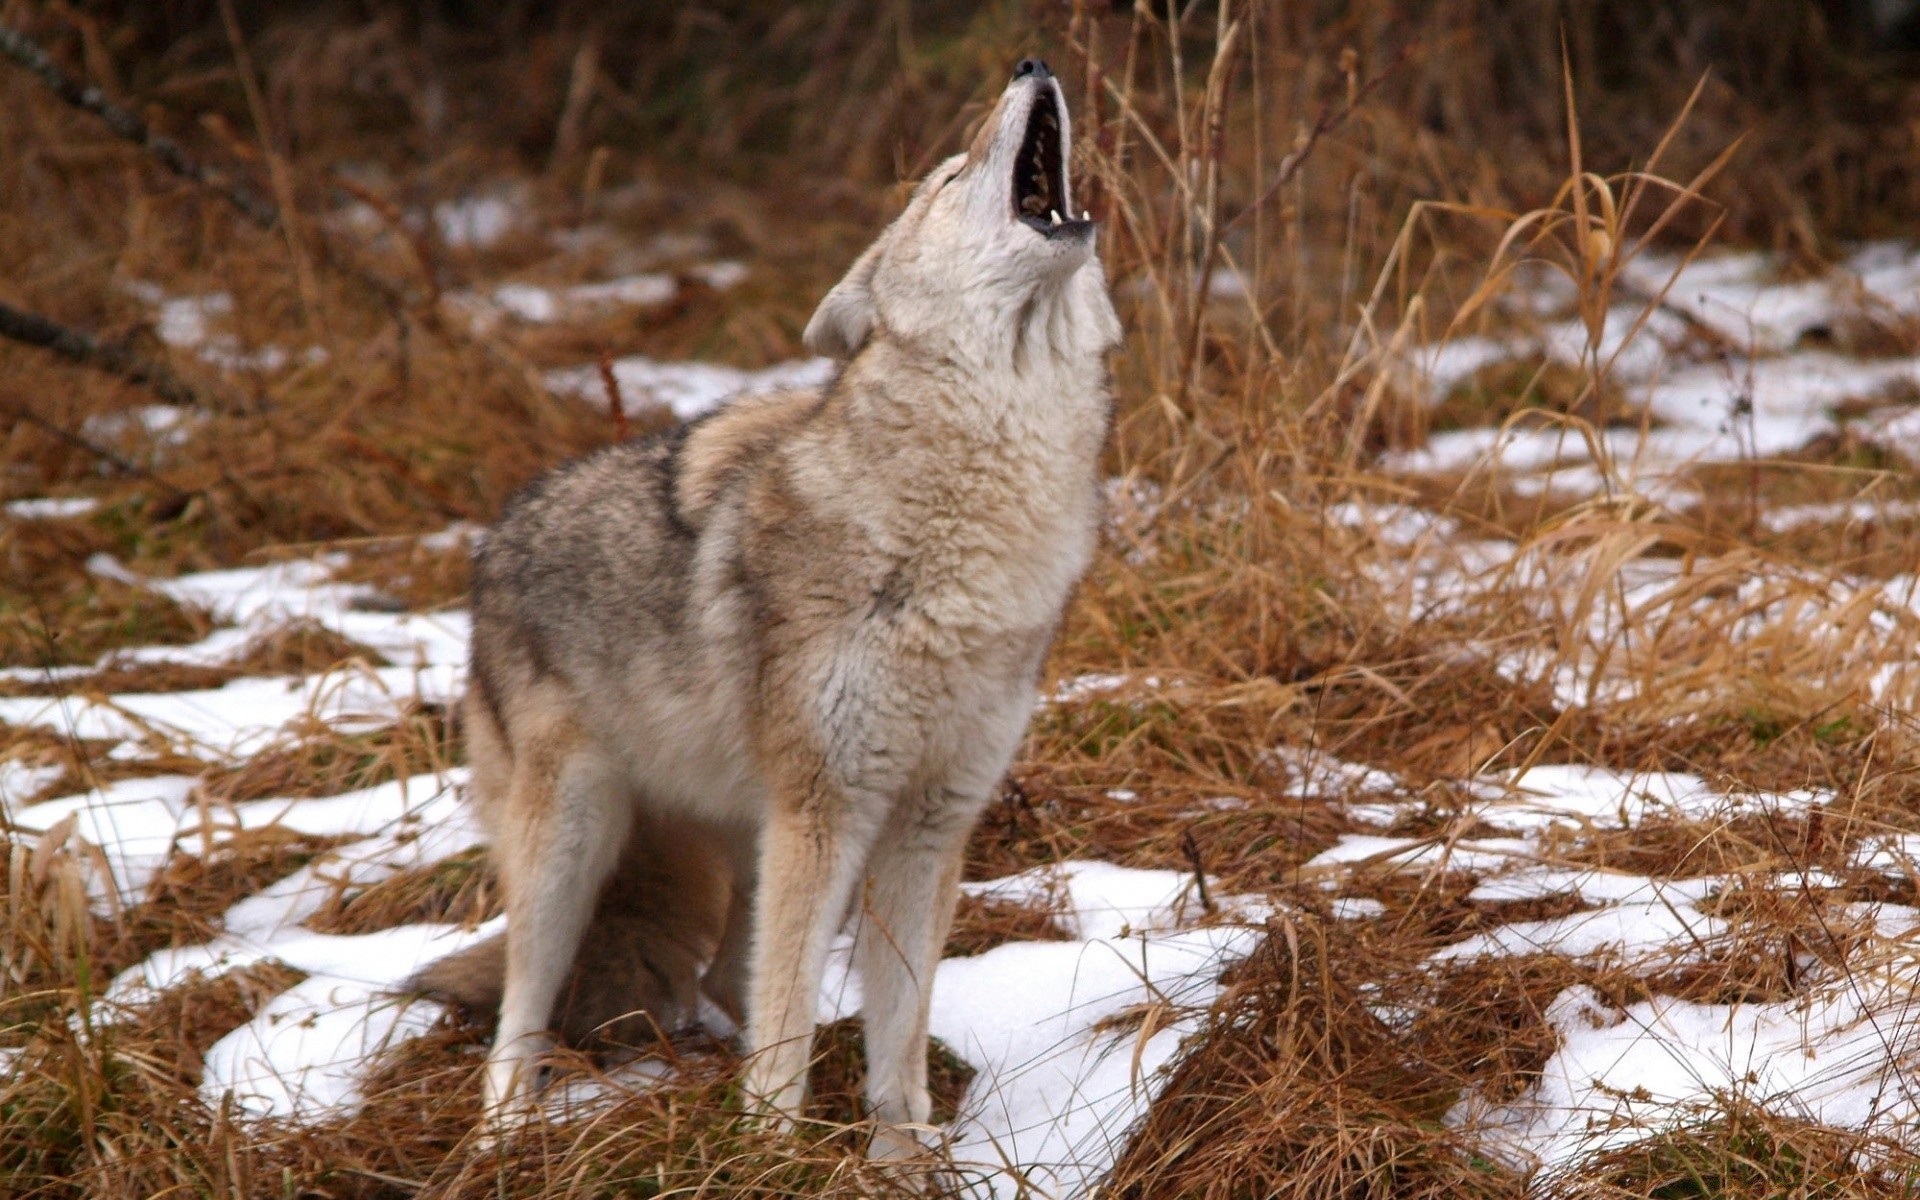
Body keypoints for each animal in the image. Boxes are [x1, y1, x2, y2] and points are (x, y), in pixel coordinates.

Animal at [420, 58, 1113, 1159]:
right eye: (949, 174)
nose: (1033, 64)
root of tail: (495, 540)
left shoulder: (928, 828)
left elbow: (897, 1050)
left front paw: (900, 1165)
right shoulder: (825, 814)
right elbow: (783, 1037)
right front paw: (770, 1155)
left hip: (746, 841)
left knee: (720, 976)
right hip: (578, 846)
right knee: (522, 1018)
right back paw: (502, 1137)